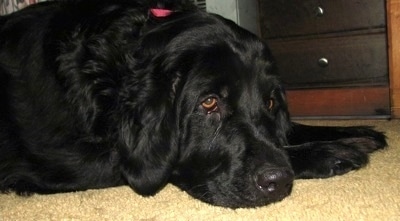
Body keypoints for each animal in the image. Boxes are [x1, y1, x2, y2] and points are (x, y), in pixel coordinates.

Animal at [1, 0, 386, 208]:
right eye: (209, 103)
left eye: (270, 102)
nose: (277, 182)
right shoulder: (72, 162)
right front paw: (330, 152)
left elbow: (290, 130)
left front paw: (358, 132)